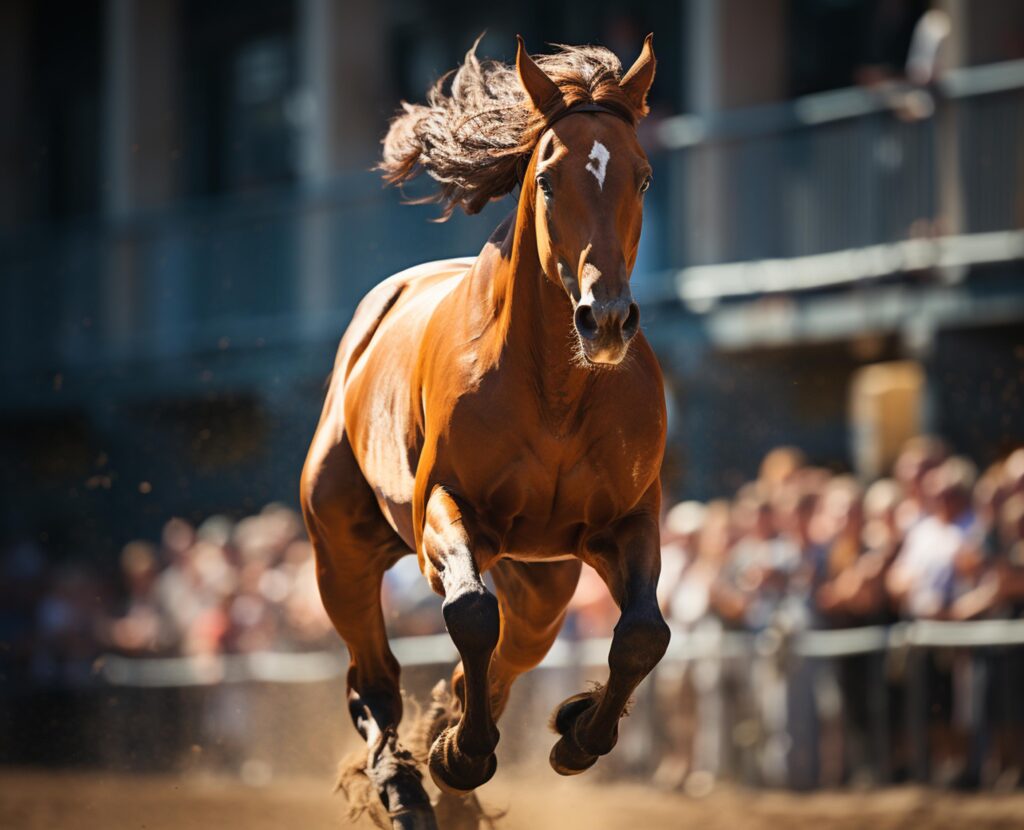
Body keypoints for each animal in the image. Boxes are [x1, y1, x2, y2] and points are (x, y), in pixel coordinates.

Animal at [300, 34, 669, 829]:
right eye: (551, 179)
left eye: (645, 176)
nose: (606, 319)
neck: (557, 392)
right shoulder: (446, 507)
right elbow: (470, 613)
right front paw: (459, 755)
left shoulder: (625, 519)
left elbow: (642, 633)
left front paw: (577, 733)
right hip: (340, 548)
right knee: (372, 678)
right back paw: (408, 786)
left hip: (543, 576)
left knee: (513, 653)